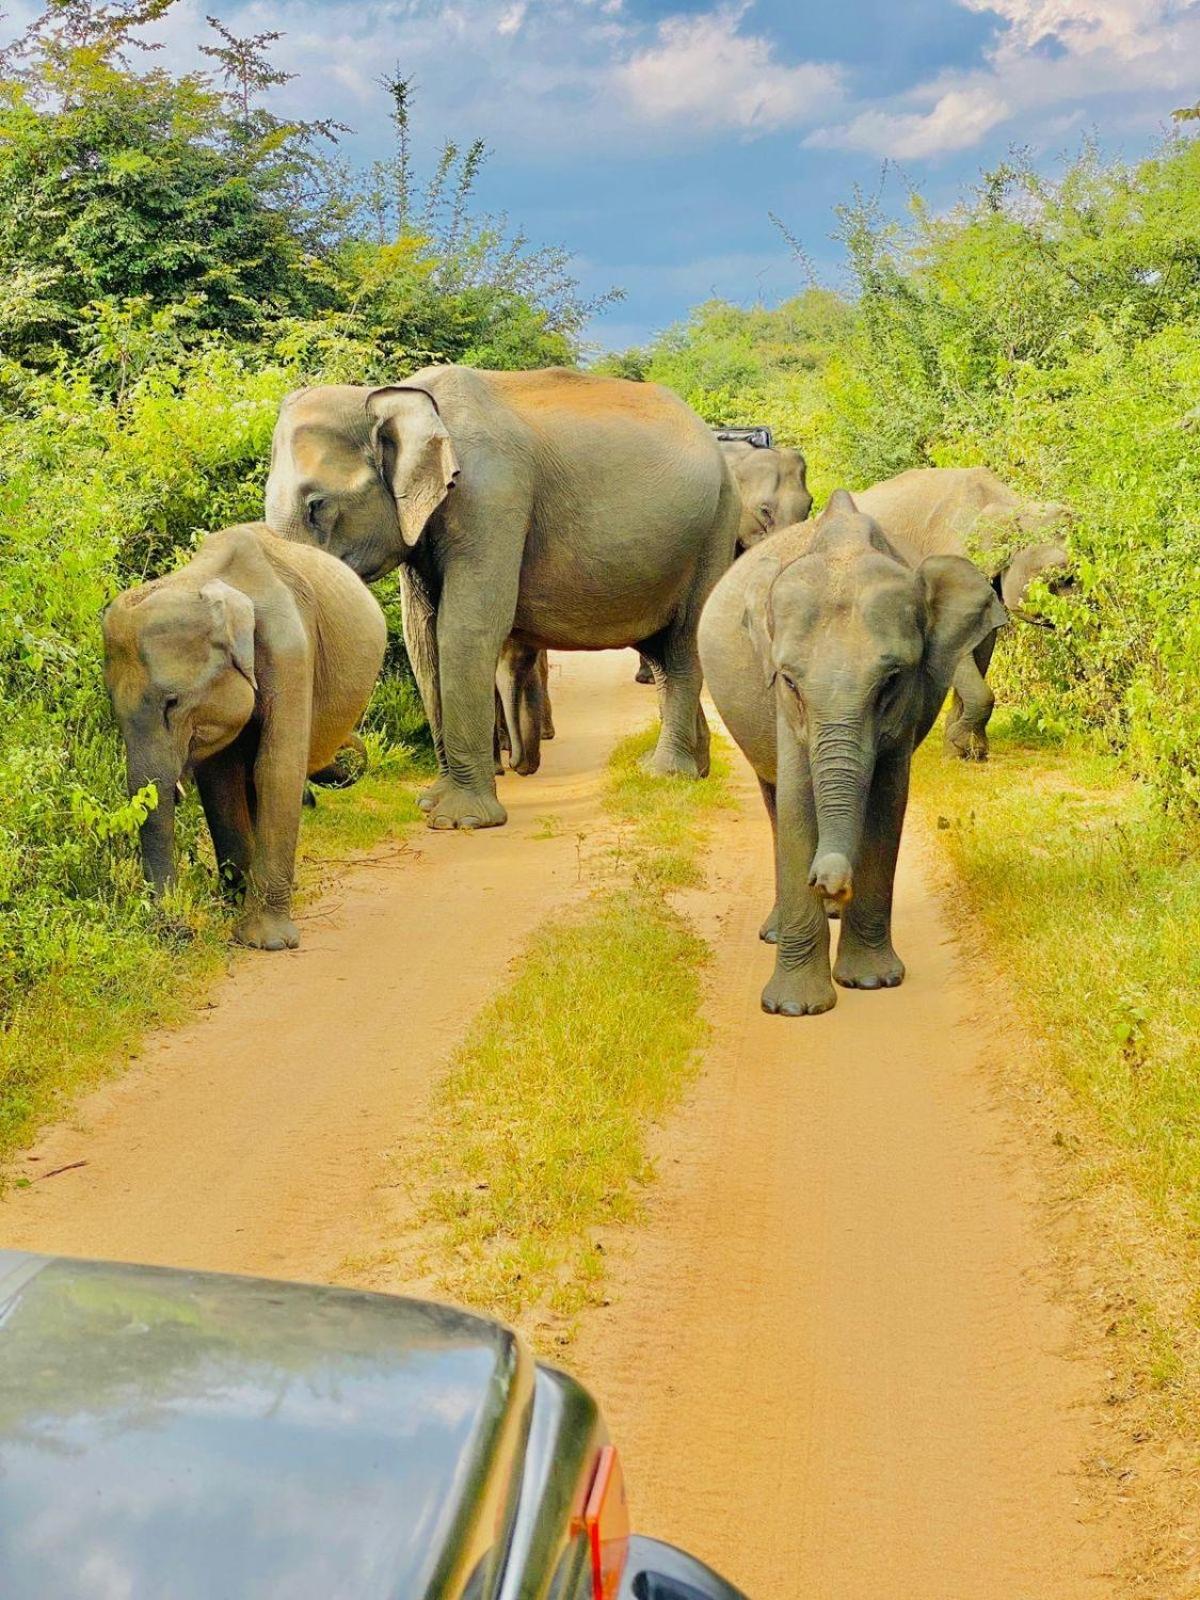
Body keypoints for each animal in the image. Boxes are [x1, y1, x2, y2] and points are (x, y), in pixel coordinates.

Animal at [104, 524, 387, 947]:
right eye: (114, 711)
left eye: (172, 702)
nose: (177, 930)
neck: (205, 580)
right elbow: (221, 782)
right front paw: (233, 912)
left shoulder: (291, 652)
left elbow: (276, 769)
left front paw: (265, 942)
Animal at [267, 368, 742, 832]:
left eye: (316, 505)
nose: (313, 800)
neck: (391, 395)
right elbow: (423, 639)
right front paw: (431, 804)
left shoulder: (491, 499)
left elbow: (465, 630)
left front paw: (461, 821)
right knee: (661, 654)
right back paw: (695, 770)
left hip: (715, 532)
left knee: (682, 649)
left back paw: (666, 774)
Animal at [700, 489, 1011, 1011]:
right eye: (789, 681)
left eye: (891, 682)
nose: (827, 881)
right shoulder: (783, 708)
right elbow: (797, 803)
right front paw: (793, 1008)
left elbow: (887, 802)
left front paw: (872, 982)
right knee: (773, 802)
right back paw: (781, 927)